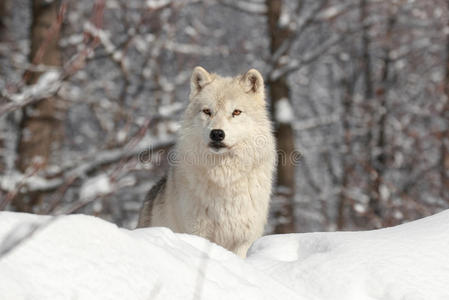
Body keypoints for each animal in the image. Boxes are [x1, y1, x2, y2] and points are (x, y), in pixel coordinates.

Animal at [137, 66, 276, 258]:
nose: (217, 133)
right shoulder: (198, 232)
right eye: (207, 111)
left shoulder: (243, 240)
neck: (224, 178)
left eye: (236, 112)